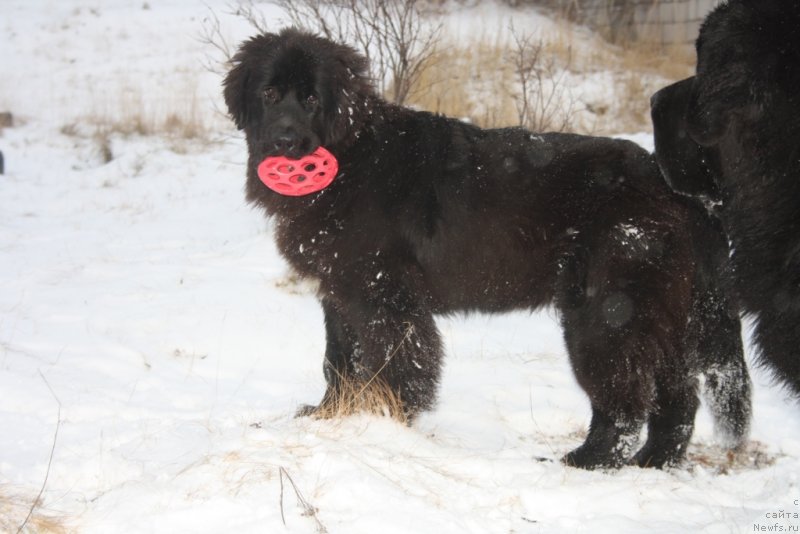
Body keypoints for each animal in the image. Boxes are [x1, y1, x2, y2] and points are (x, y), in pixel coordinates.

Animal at [223, 28, 752, 468]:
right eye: (269, 94)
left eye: (312, 99)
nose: (285, 140)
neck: (350, 154)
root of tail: (673, 186)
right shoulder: (340, 291)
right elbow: (338, 361)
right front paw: (329, 417)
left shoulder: (382, 295)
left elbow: (394, 363)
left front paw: (390, 423)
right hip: (662, 314)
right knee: (678, 397)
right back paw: (654, 463)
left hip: (606, 314)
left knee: (623, 404)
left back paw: (583, 462)